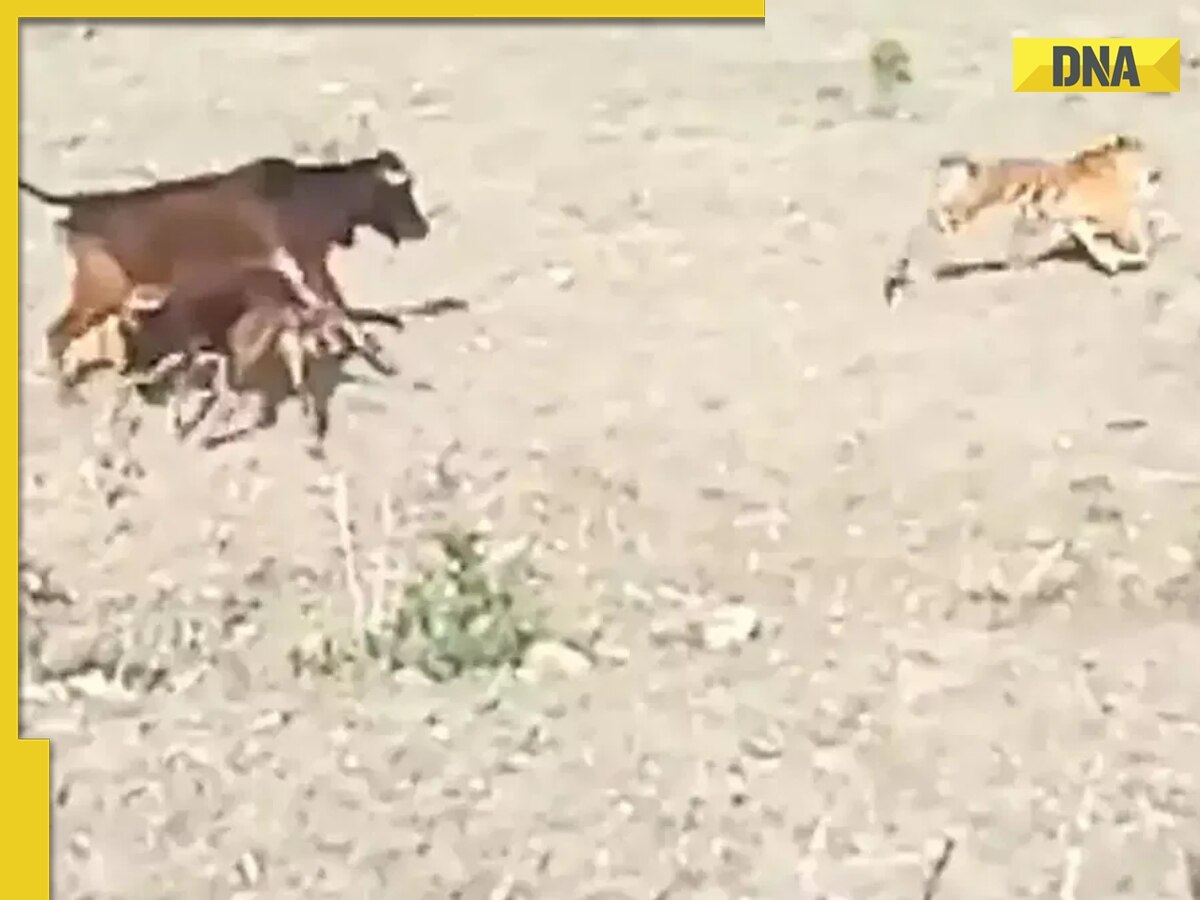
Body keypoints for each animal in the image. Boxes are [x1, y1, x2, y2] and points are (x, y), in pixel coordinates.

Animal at [19, 148, 431, 387]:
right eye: (402, 194)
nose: (423, 228)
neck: (312, 196)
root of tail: (76, 208)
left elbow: (337, 308)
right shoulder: (305, 263)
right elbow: (338, 308)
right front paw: (376, 355)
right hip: (101, 290)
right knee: (56, 334)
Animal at [112, 261, 396, 459]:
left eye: (128, 333)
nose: (125, 365)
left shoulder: (192, 355)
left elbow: (176, 387)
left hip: (245, 359)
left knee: (233, 401)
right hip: (287, 350)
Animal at [883, 133, 1179, 308]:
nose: (1160, 171)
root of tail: (965, 166)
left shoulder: (1075, 221)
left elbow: (1095, 244)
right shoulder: (1116, 216)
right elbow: (1137, 242)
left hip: (952, 215)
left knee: (921, 233)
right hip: (959, 215)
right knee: (921, 237)